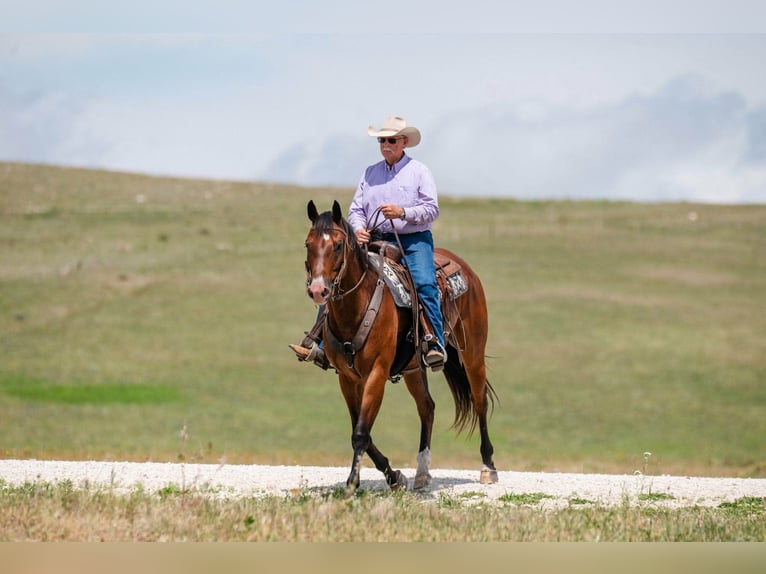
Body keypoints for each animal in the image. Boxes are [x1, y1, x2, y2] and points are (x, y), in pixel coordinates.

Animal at [302, 200, 498, 495]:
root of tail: (466, 270)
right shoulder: (348, 378)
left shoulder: (377, 373)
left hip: (473, 354)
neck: (356, 308)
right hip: (413, 368)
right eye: (308, 244)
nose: (318, 291)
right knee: (427, 406)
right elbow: (361, 429)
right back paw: (422, 472)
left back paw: (488, 467)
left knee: (479, 402)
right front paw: (394, 476)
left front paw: (352, 484)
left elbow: (361, 433)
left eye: (337, 245)